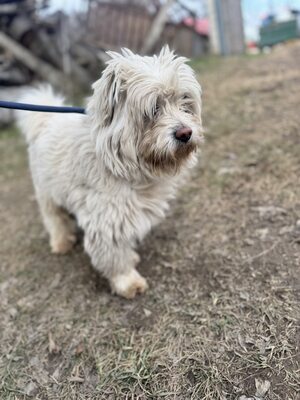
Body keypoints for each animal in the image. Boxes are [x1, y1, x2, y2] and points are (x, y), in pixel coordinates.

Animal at [17, 47, 204, 298]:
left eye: (185, 102)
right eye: (153, 109)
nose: (185, 133)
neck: (120, 164)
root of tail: (46, 118)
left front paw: (131, 258)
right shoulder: (106, 220)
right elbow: (114, 256)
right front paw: (128, 282)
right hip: (46, 192)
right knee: (54, 218)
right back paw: (61, 242)